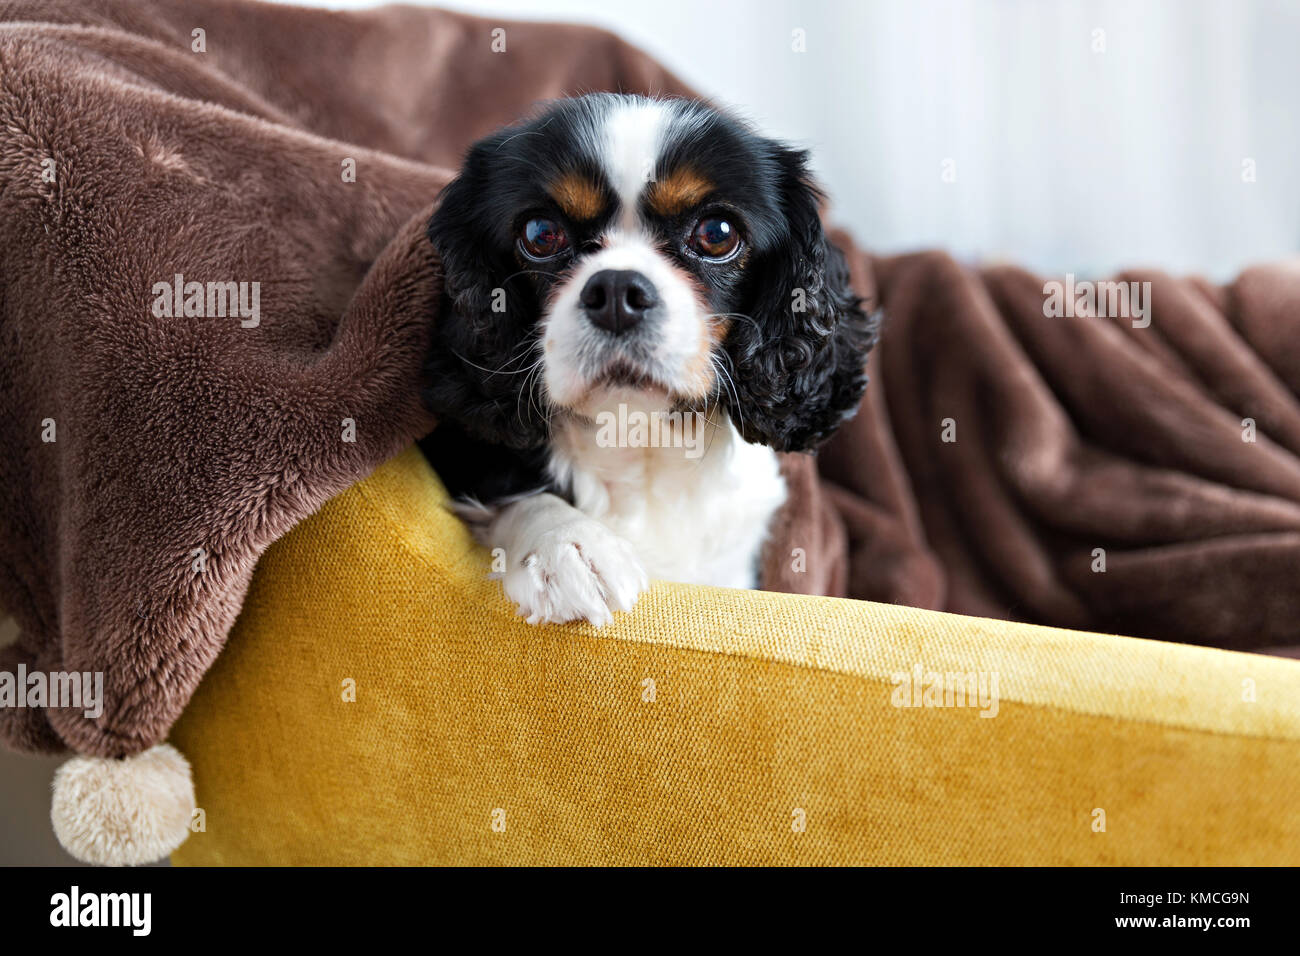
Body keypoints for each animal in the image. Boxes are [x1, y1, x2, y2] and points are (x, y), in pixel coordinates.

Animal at [421, 93, 878, 624]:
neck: (639, 433)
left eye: (717, 232)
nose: (618, 292)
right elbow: (512, 488)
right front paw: (569, 545)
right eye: (540, 233)